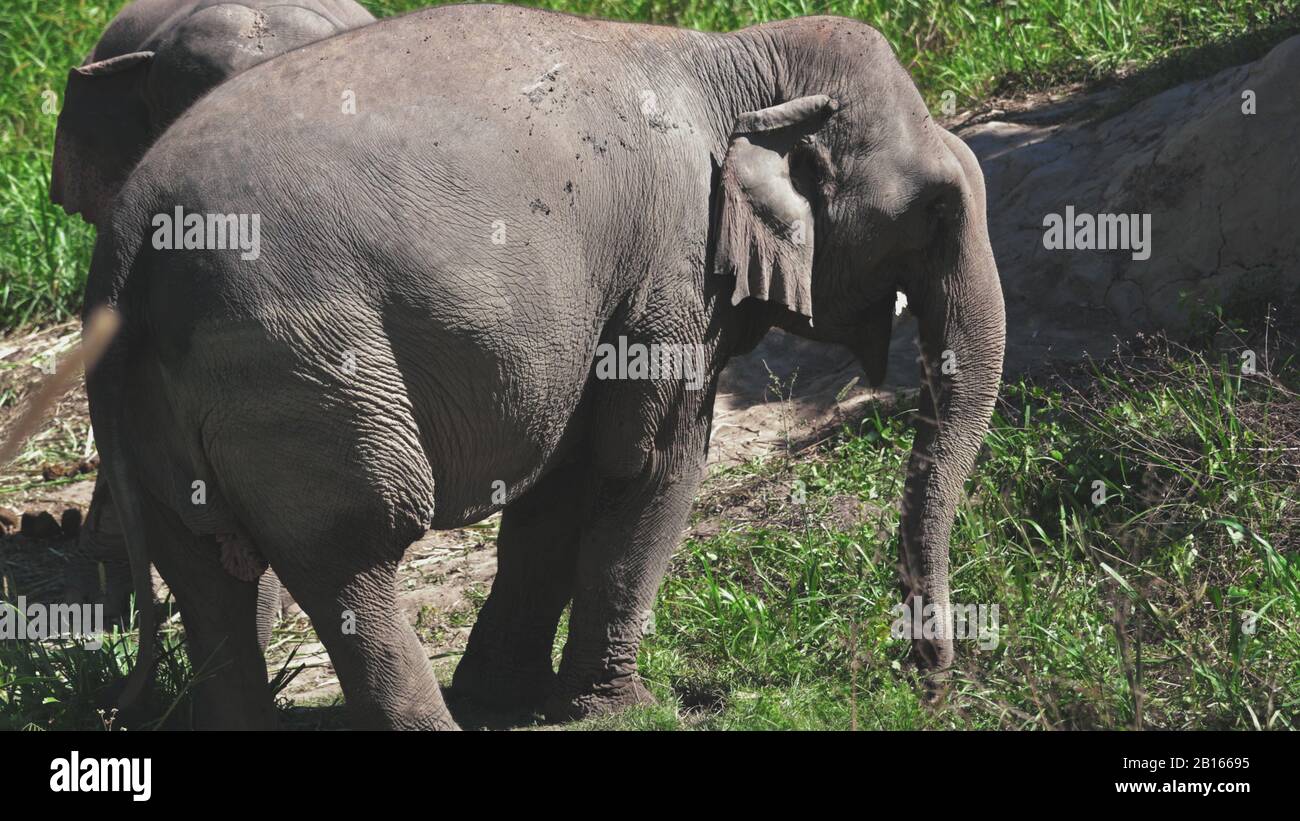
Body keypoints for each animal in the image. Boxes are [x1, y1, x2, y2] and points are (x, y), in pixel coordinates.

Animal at [86, 3, 1008, 727]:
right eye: (937, 208)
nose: (927, 682)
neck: (733, 59)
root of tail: (127, 242)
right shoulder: (670, 268)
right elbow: (651, 465)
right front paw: (624, 709)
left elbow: (558, 484)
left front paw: (506, 696)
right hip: (306, 374)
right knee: (355, 553)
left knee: (204, 577)